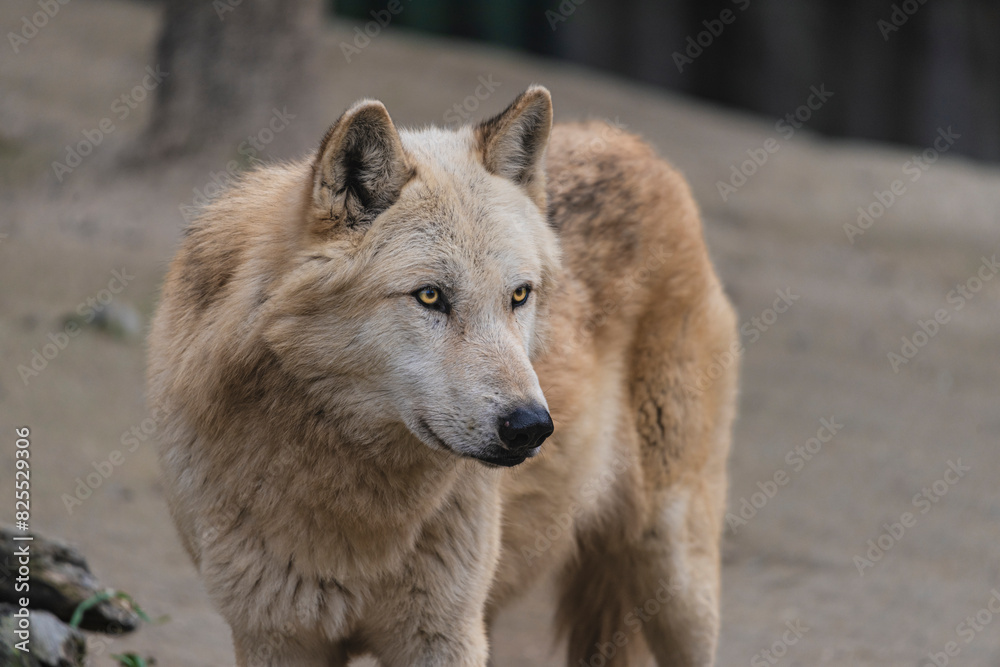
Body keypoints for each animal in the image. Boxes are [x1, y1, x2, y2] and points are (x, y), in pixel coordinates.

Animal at [147, 86, 739, 666]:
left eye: (518, 295)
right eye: (430, 296)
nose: (531, 426)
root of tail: (633, 143)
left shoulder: (445, 635)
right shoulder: (276, 637)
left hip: (678, 580)